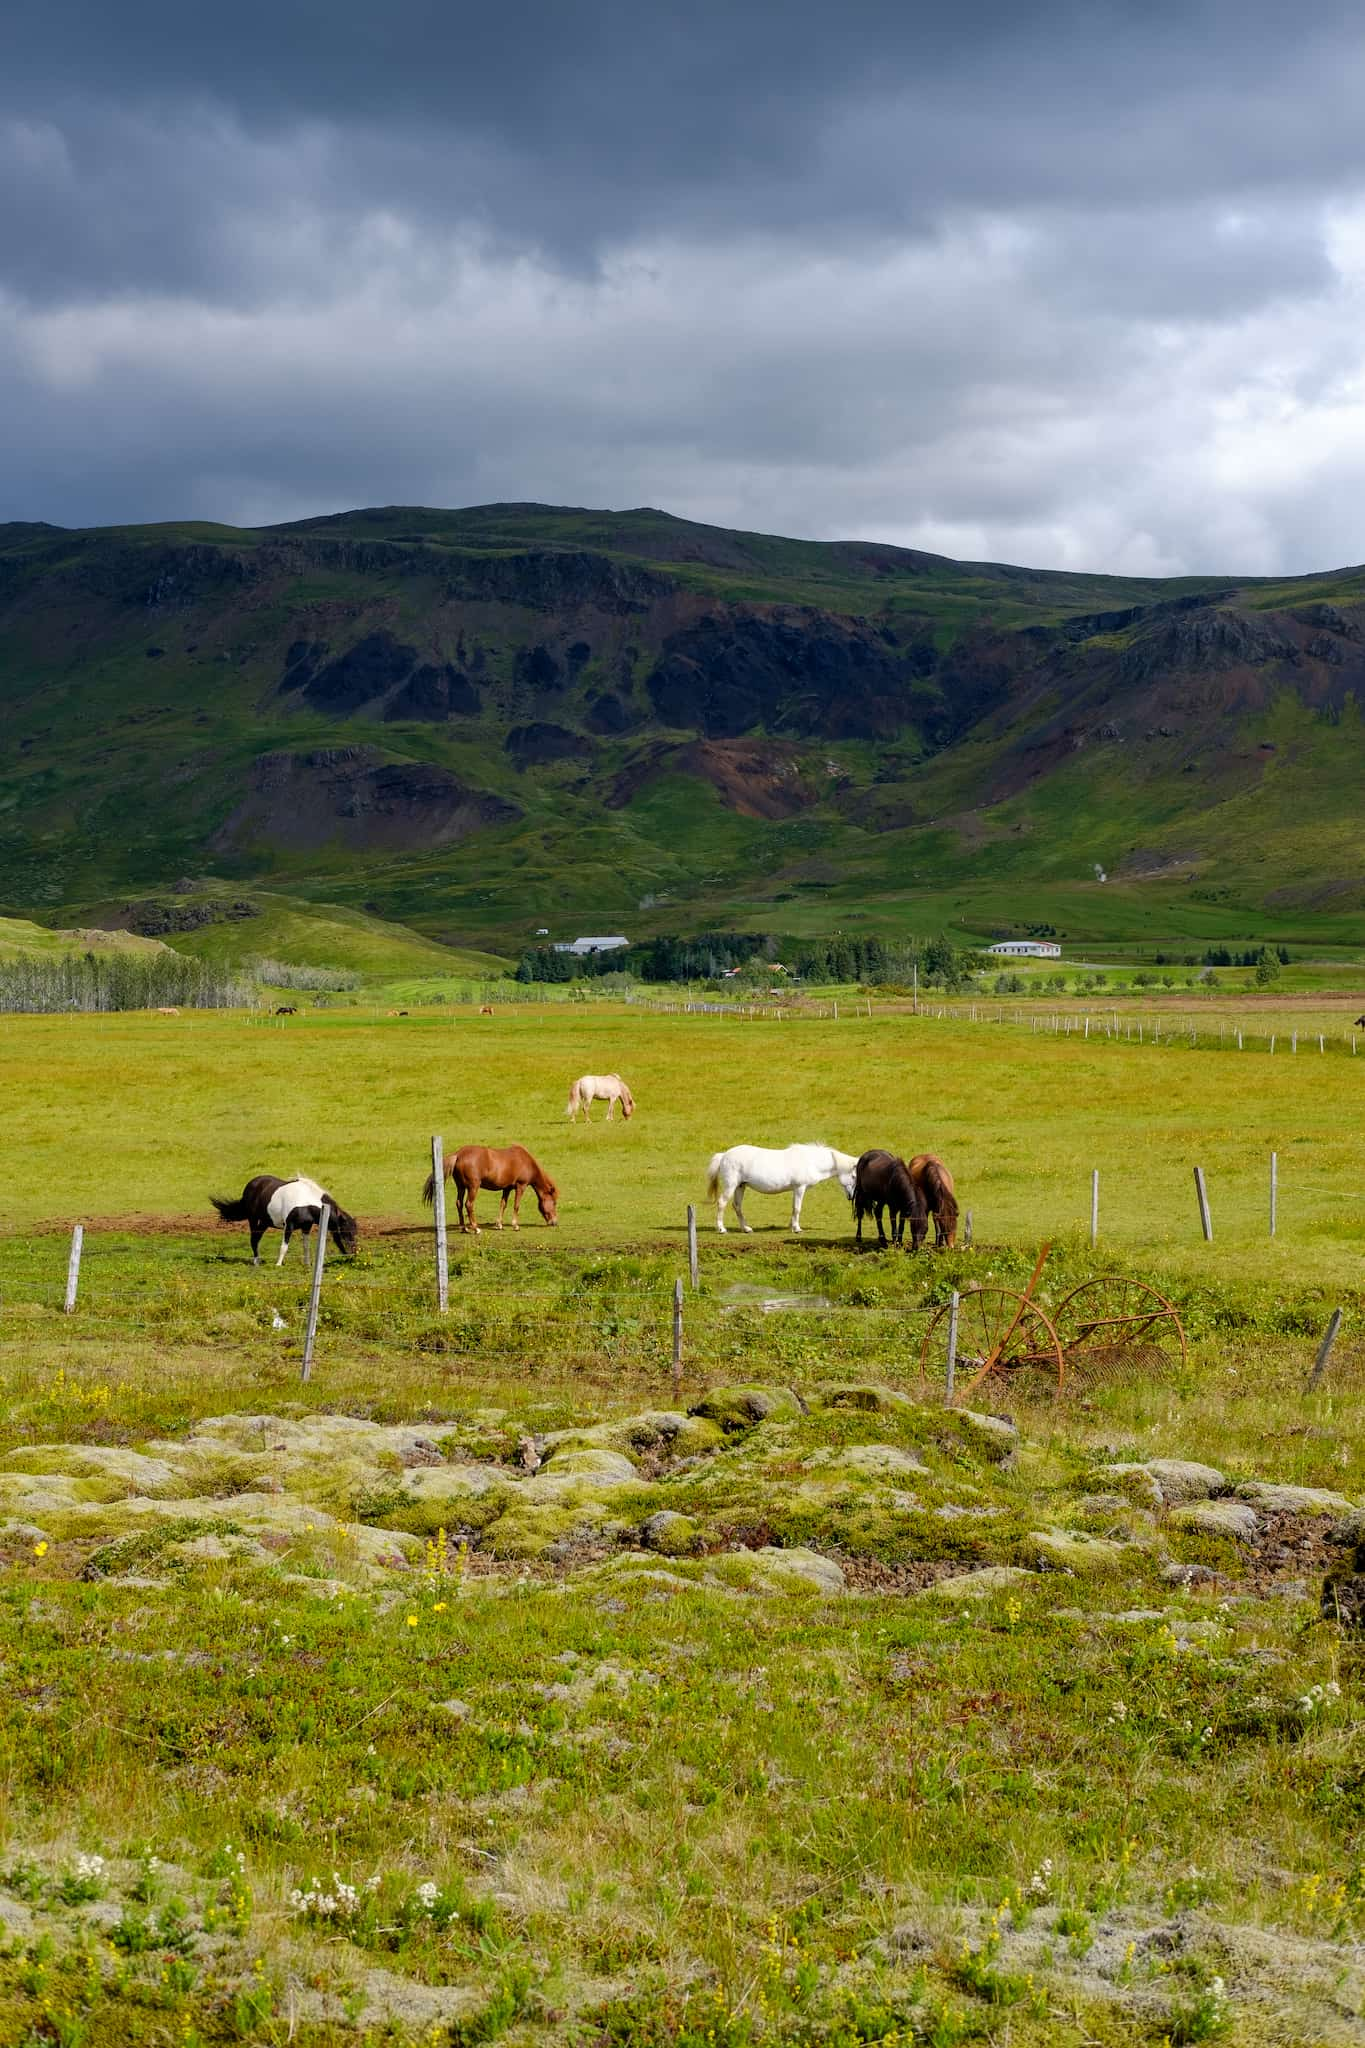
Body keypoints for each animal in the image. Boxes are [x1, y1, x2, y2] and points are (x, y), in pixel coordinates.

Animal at [210, 1171, 360, 1261]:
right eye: (346, 1232)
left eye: (355, 1232)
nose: (353, 1253)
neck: (306, 1201)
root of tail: (251, 1185)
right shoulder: (289, 1226)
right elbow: (284, 1246)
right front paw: (278, 1264)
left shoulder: (306, 1227)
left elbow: (306, 1246)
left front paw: (307, 1264)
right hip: (253, 1219)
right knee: (253, 1240)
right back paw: (256, 1261)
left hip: (265, 1222)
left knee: (256, 1239)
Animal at [421, 1146, 560, 1236]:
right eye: (554, 1203)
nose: (554, 1222)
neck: (525, 1161)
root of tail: (459, 1154)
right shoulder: (521, 1186)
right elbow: (516, 1206)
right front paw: (515, 1225)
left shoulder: (507, 1188)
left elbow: (503, 1204)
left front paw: (499, 1224)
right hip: (473, 1187)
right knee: (468, 1205)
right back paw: (476, 1229)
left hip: (461, 1187)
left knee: (459, 1204)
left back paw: (464, 1228)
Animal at [703, 1138, 855, 1228]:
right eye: (854, 1176)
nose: (851, 1196)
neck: (810, 1161)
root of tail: (724, 1155)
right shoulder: (800, 1188)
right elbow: (797, 1208)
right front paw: (797, 1228)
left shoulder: (796, 1189)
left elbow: (794, 1207)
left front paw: (792, 1225)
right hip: (731, 1186)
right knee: (722, 1203)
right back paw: (721, 1229)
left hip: (740, 1186)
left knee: (737, 1206)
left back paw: (746, 1228)